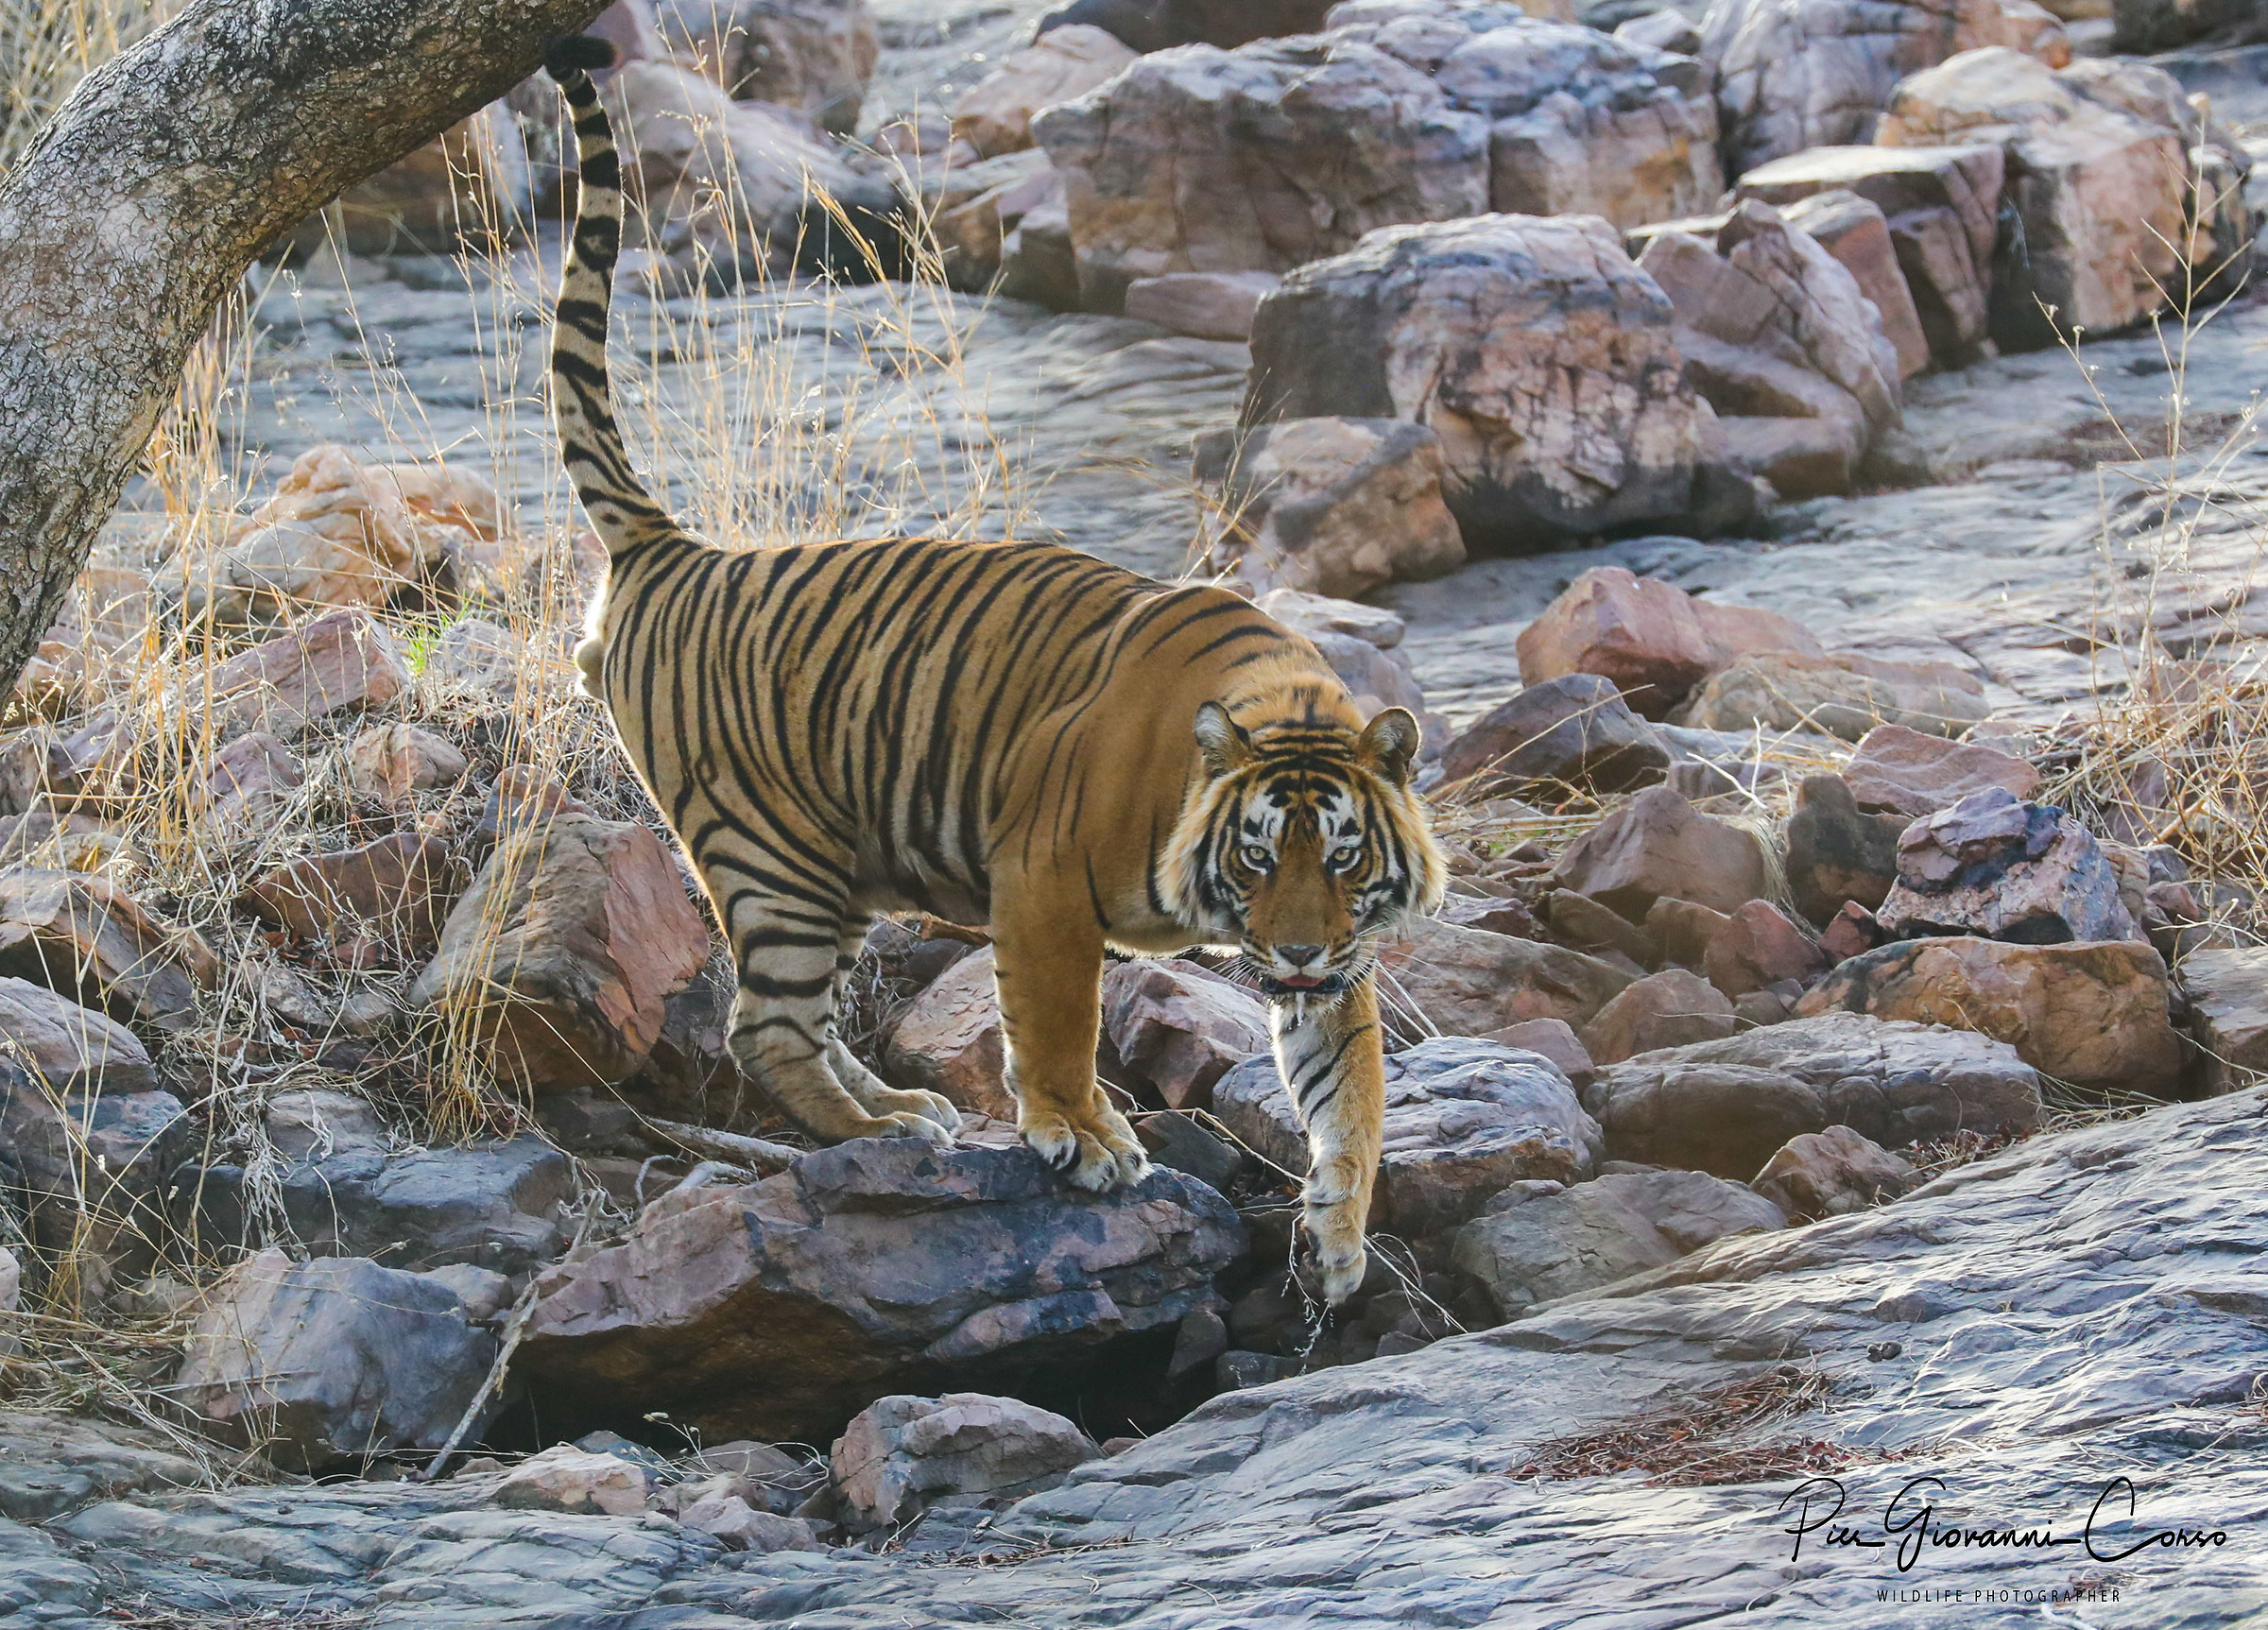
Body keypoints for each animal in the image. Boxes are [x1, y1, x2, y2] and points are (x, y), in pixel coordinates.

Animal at [539, 37, 1447, 1302]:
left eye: (1346, 858)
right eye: (1257, 857)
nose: (1301, 949)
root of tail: (676, 548)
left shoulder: (1340, 960)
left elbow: (1353, 1088)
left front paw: (1341, 1230)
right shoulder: (1043, 876)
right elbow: (1059, 1023)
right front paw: (1087, 1139)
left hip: (833, 865)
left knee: (801, 1022)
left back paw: (899, 1107)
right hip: (773, 854)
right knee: (764, 1029)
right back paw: (879, 1129)